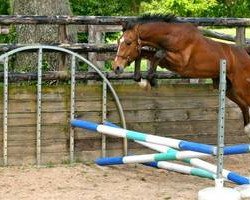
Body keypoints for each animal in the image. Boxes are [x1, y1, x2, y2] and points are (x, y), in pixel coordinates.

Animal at [112, 14, 250, 136]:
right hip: (230, 90)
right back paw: (247, 129)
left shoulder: (180, 62)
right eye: (119, 41)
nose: (116, 67)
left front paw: (150, 81)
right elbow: (144, 53)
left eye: (128, 42)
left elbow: (158, 53)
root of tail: (246, 54)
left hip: (241, 87)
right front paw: (142, 81)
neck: (172, 36)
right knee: (243, 105)